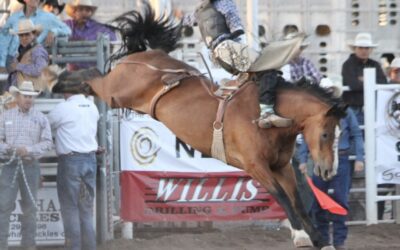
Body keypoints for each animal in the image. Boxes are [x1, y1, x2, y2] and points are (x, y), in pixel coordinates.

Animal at [51, 5, 346, 250]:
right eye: (325, 133)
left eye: (337, 135)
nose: (328, 170)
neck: (272, 117)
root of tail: (142, 54)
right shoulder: (255, 166)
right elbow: (282, 198)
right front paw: (302, 237)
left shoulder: (282, 167)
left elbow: (298, 202)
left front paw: (321, 241)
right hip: (115, 92)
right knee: (92, 77)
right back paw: (55, 78)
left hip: (118, 96)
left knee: (90, 82)